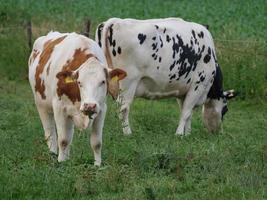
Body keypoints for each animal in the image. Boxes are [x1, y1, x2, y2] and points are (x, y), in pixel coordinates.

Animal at [28, 31, 127, 166]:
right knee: (50, 134)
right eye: (79, 82)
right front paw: (61, 163)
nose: (89, 105)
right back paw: (53, 155)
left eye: (103, 81)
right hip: (42, 106)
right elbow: (63, 140)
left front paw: (97, 165)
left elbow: (96, 143)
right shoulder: (59, 108)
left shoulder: (101, 109)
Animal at [96, 17, 237, 136]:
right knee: (123, 108)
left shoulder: (183, 91)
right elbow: (186, 112)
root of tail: (116, 21)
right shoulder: (199, 85)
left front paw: (187, 134)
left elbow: (188, 113)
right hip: (128, 82)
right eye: (225, 110)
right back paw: (128, 134)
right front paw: (179, 134)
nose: (219, 132)